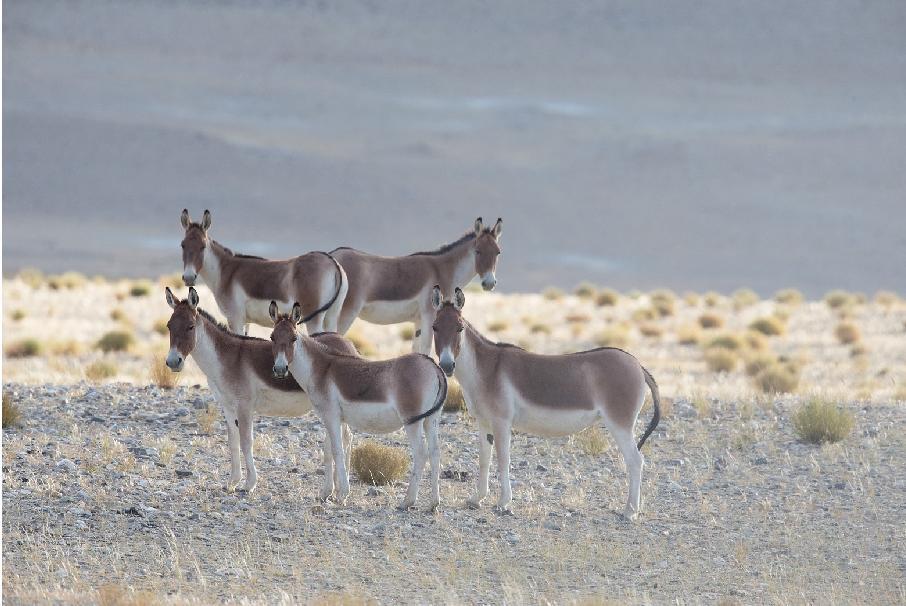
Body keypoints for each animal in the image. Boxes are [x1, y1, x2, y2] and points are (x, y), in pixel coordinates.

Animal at [164, 288, 354, 496]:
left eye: (190, 327)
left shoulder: (244, 406)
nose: (173, 362)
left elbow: (247, 441)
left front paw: (249, 483)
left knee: (343, 440)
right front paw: (232, 481)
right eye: (169, 326)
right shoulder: (227, 406)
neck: (225, 358)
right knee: (345, 438)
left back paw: (335, 487)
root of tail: (346, 342)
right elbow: (232, 441)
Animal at [179, 210, 346, 334]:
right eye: (182, 245)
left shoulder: (235, 319)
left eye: (203, 246)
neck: (225, 271)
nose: (188, 277)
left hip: (314, 319)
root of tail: (332, 263)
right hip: (331, 316)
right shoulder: (246, 321)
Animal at [272, 302, 448, 510]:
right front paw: (327, 493)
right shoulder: (336, 418)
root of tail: (433, 366)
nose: (280, 370)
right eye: (272, 337)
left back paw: (407, 501)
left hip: (412, 422)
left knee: (421, 454)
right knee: (435, 453)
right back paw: (434, 503)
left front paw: (342, 495)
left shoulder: (330, 416)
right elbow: (330, 450)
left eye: (293, 338)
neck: (320, 368)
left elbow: (337, 451)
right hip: (431, 419)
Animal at [330, 217, 504, 352]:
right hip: (346, 312)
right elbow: (426, 349)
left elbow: (416, 350)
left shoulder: (419, 321)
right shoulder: (430, 315)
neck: (444, 270)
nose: (489, 283)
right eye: (477, 251)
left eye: (498, 252)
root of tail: (332, 255)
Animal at [430, 288, 656, 520]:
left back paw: (630, 511)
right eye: (435, 327)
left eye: (460, 328)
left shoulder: (502, 422)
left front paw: (503, 502)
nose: (447, 365)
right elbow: (484, 459)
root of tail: (637, 365)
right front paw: (477, 499)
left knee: (635, 461)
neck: (486, 369)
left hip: (620, 424)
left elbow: (503, 460)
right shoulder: (483, 422)